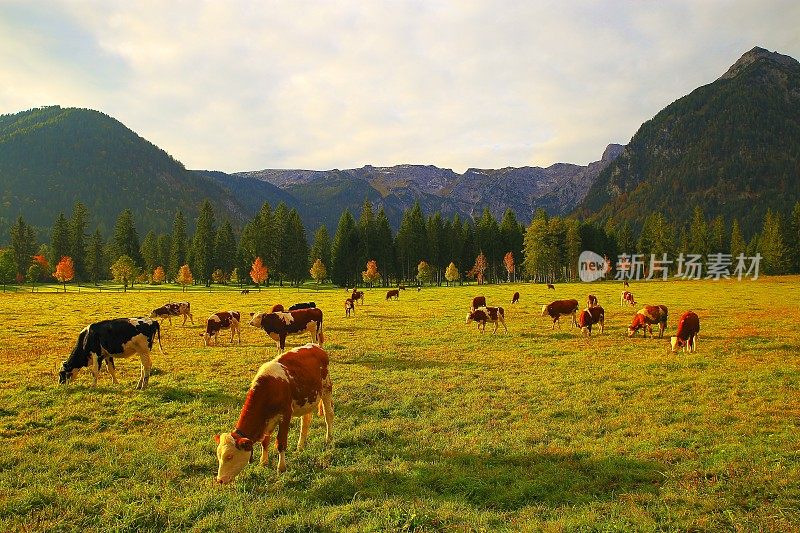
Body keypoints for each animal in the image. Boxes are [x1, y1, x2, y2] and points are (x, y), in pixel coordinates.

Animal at [212, 340, 332, 482]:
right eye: (219, 455)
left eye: (229, 456)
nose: (220, 480)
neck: (269, 388)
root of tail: (315, 346)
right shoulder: (267, 420)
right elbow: (265, 441)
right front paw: (263, 461)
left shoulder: (285, 415)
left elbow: (280, 443)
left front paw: (281, 468)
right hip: (308, 400)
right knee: (305, 422)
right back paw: (300, 446)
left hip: (327, 388)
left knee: (329, 416)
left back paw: (329, 439)